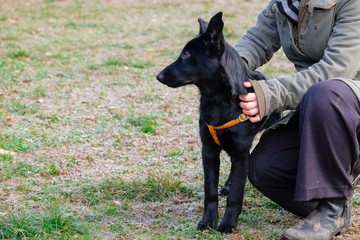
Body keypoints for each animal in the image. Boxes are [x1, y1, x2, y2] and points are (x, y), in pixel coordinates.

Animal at [157, 12, 278, 233]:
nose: (158, 76)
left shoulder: (240, 152)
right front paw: (208, 221)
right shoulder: (209, 151)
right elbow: (210, 191)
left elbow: (236, 195)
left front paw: (228, 223)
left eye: (187, 55)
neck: (218, 99)